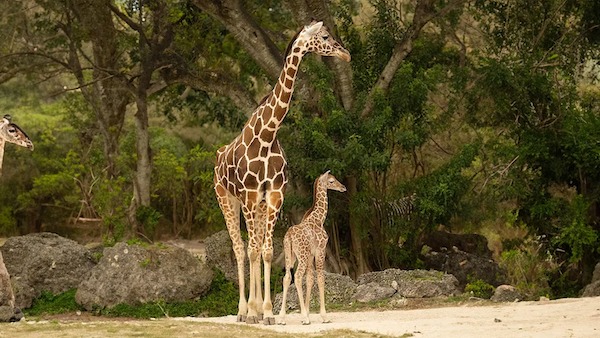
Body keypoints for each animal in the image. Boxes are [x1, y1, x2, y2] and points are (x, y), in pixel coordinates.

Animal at [278, 172, 344, 324]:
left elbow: (309, 279)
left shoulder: (310, 255)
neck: (319, 219)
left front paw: (308, 312)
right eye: (331, 181)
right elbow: (320, 278)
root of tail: (289, 235)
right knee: (296, 277)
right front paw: (323, 316)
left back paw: (282, 318)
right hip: (301, 256)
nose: (343, 187)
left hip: (290, 255)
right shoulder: (320, 251)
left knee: (287, 277)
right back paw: (303, 318)